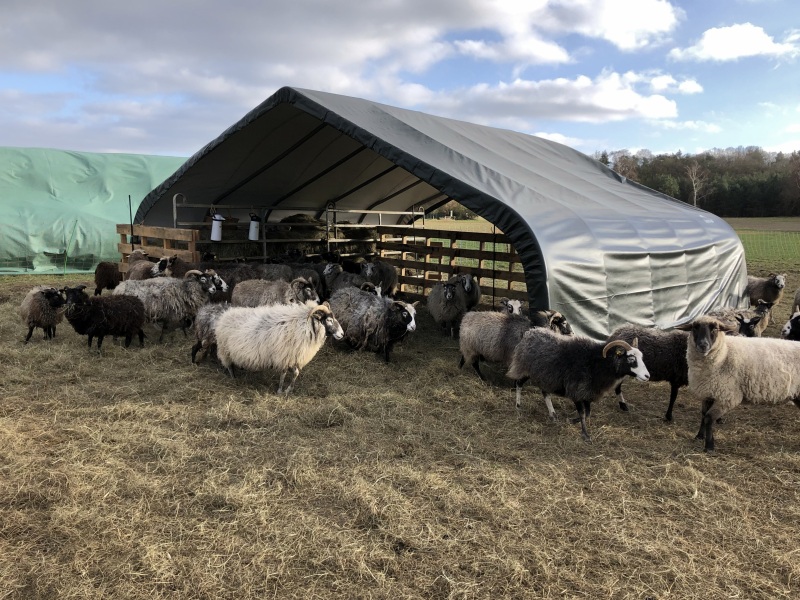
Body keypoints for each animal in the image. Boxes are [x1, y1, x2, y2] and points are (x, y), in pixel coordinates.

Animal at [216, 302, 344, 396]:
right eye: (329, 320)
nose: (342, 334)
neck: (304, 326)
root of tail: (226, 314)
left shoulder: (293, 356)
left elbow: (296, 373)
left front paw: (288, 390)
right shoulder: (283, 356)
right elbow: (283, 374)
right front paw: (280, 391)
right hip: (224, 349)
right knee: (228, 365)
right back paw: (233, 378)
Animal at [506, 328, 648, 440]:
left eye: (642, 357)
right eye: (631, 359)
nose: (647, 376)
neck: (597, 364)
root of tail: (529, 333)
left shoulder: (587, 392)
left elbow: (588, 413)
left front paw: (572, 420)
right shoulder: (577, 392)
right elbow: (583, 413)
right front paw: (585, 434)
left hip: (545, 376)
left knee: (545, 392)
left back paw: (553, 415)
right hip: (526, 369)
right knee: (518, 384)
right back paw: (518, 407)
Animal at [680, 316, 800, 452]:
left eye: (715, 328)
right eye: (695, 328)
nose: (703, 345)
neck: (724, 353)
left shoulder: (727, 397)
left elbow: (709, 418)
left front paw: (709, 446)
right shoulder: (708, 393)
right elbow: (703, 415)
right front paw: (699, 436)